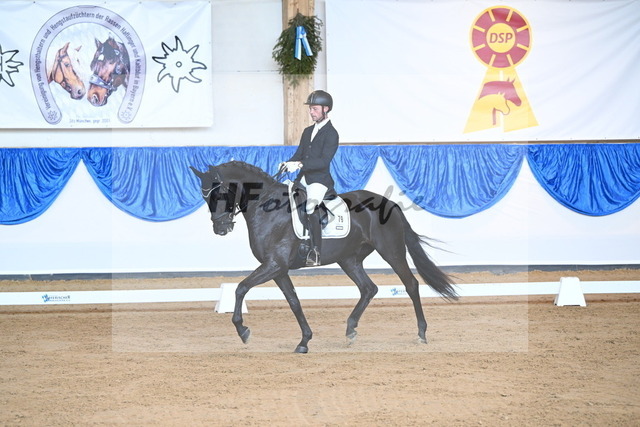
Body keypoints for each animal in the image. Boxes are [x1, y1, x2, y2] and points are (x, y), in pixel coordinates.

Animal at [190, 161, 458, 353]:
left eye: (221, 193)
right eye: (204, 197)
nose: (221, 228)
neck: (267, 207)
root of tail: (390, 203)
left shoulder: (274, 264)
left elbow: (240, 288)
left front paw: (243, 331)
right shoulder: (278, 269)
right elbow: (294, 301)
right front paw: (304, 341)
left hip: (391, 252)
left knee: (411, 285)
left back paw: (421, 334)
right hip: (349, 259)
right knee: (368, 288)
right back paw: (350, 332)